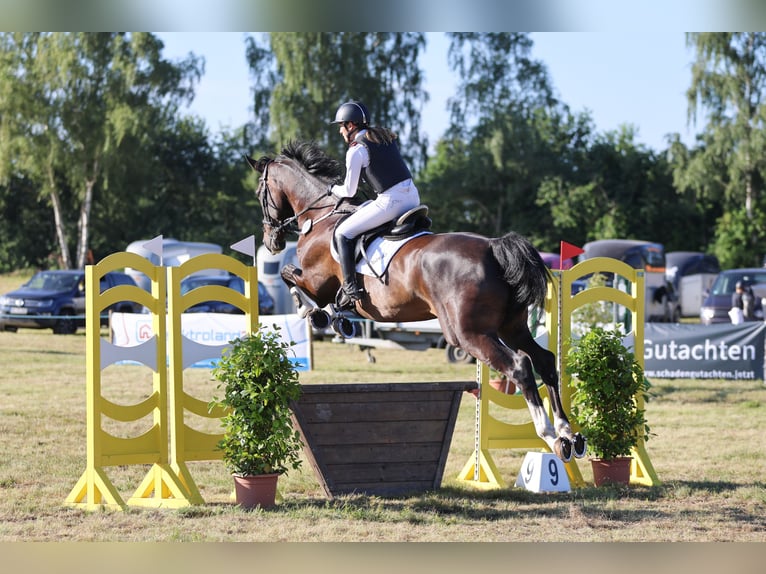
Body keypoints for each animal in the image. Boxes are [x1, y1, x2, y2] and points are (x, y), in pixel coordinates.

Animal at [248, 141, 588, 464]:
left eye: (260, 193)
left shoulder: (316, 282)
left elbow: (291, 278)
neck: (319, 217)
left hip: (468, 334)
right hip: (511, 327)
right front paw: (337, 318)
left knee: (520, 366)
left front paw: (315, 314)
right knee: (544, 361)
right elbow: (307, 287)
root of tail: (493, 248)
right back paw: (569, 434)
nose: (271, 241)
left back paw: (550, 436)